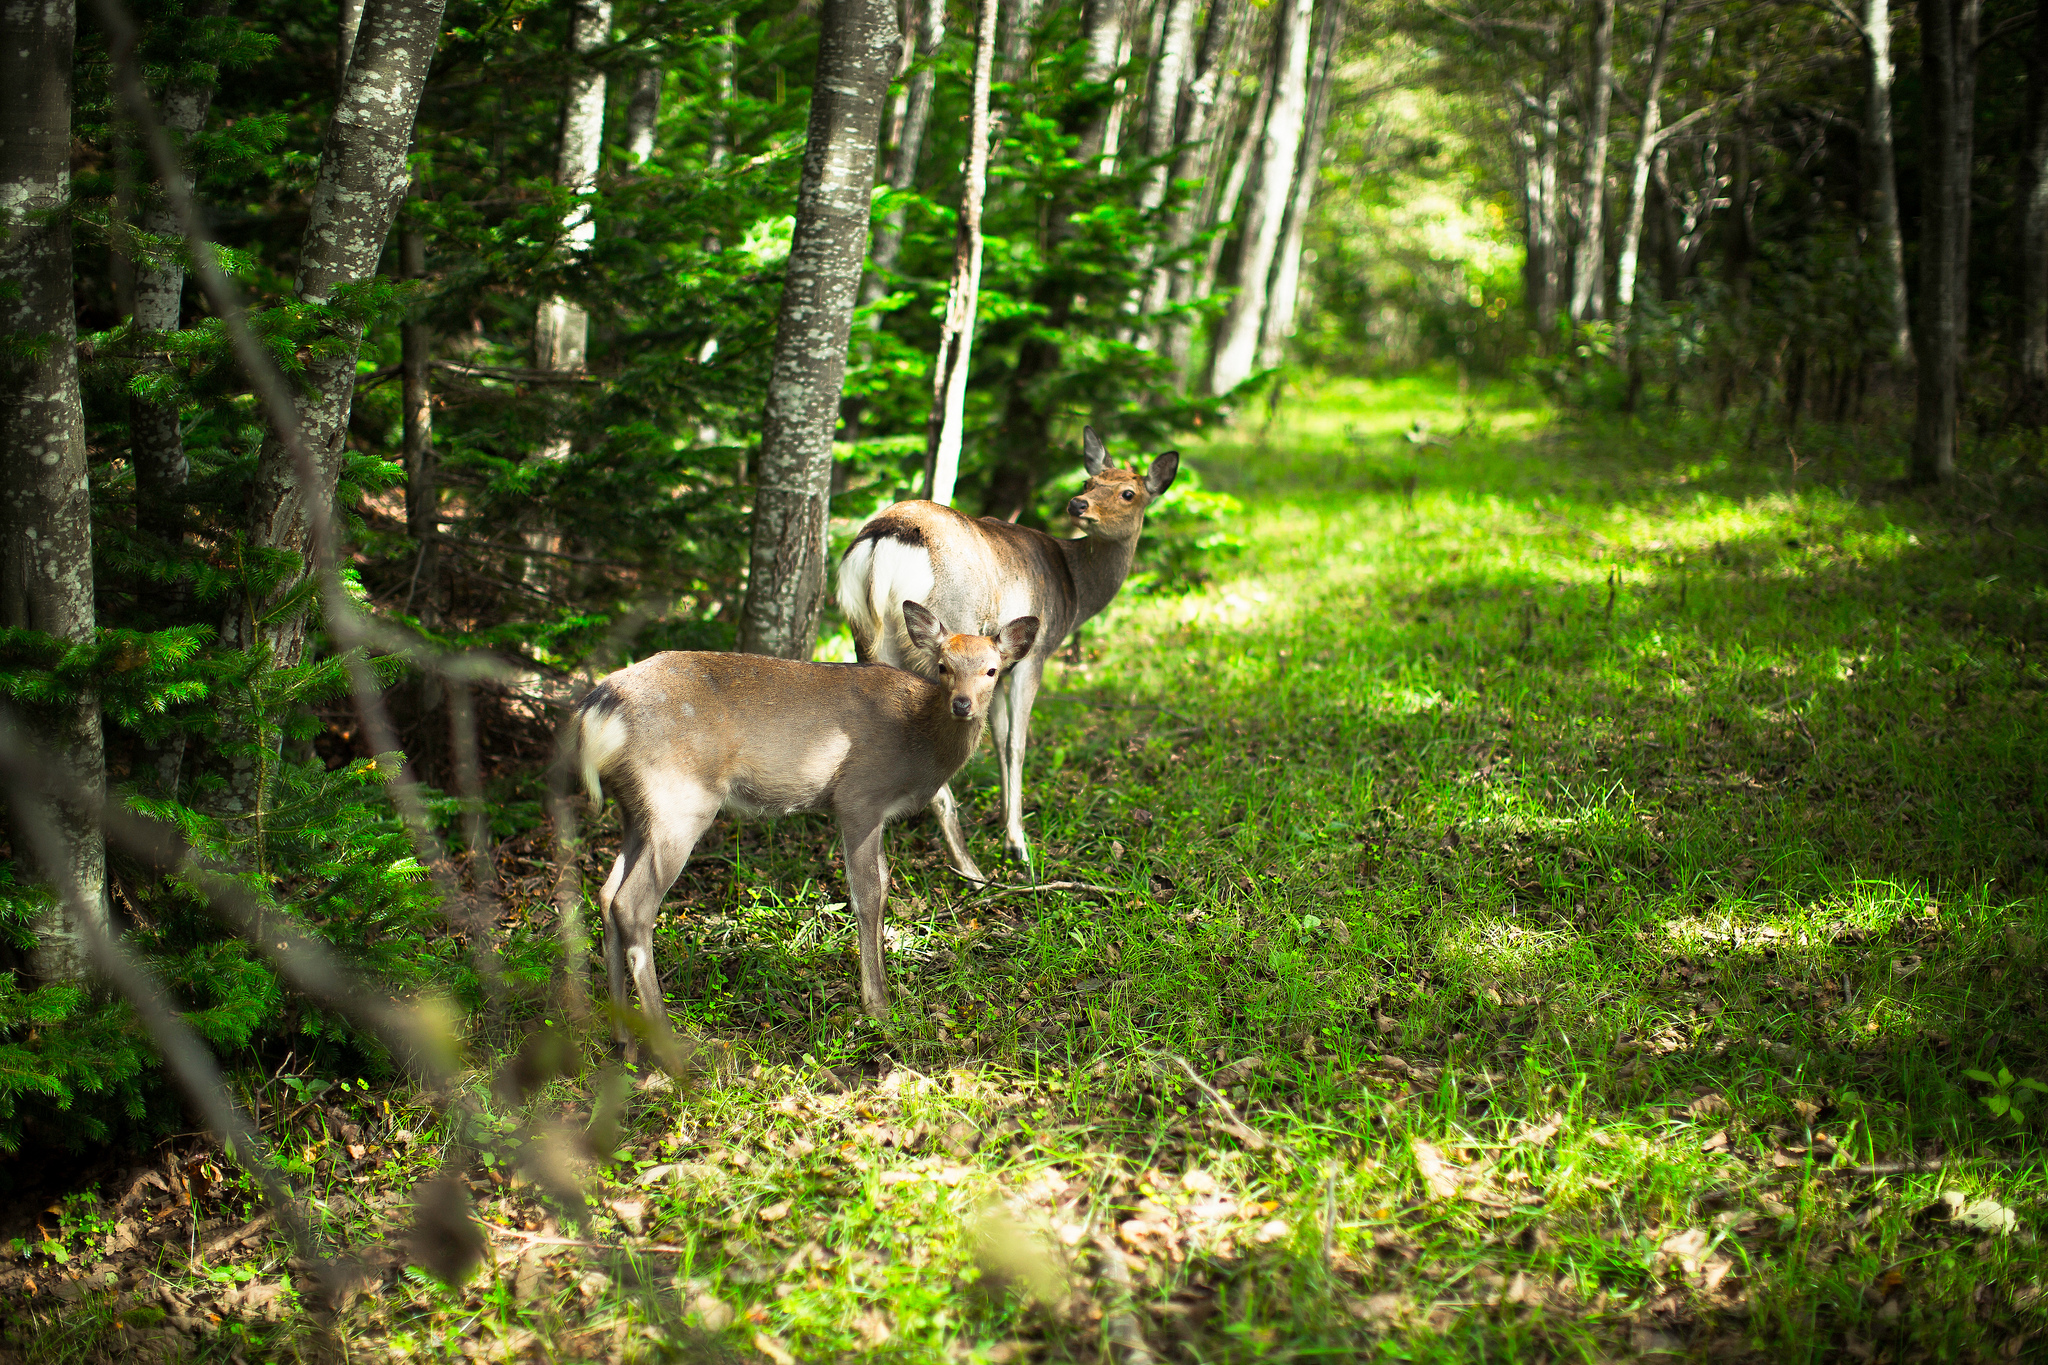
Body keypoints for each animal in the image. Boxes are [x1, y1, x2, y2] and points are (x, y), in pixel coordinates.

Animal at [565, 601, 1032, 1039]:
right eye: (943, 666)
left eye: (991, 670)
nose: (962, 704)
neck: (919, 741)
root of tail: (598, 708)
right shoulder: (858, 797)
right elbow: (868, 893)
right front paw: (878, 1006)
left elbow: (883, 886)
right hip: (679, 798)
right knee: (632, 904)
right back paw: (668, 1042)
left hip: (635, 808)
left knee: (606, 894)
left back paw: (623, 1037)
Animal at [835, 421, 1187, 888]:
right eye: (1089, 482)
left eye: (1128, 492)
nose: (1077, 503)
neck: (1074, 589)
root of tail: (883, 542)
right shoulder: (1033, 655)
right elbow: (1017, 743)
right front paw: (1018, 842)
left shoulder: (997, 670)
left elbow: (1000, 740)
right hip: (944, 636)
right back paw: (971, 871)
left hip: (865, 637)